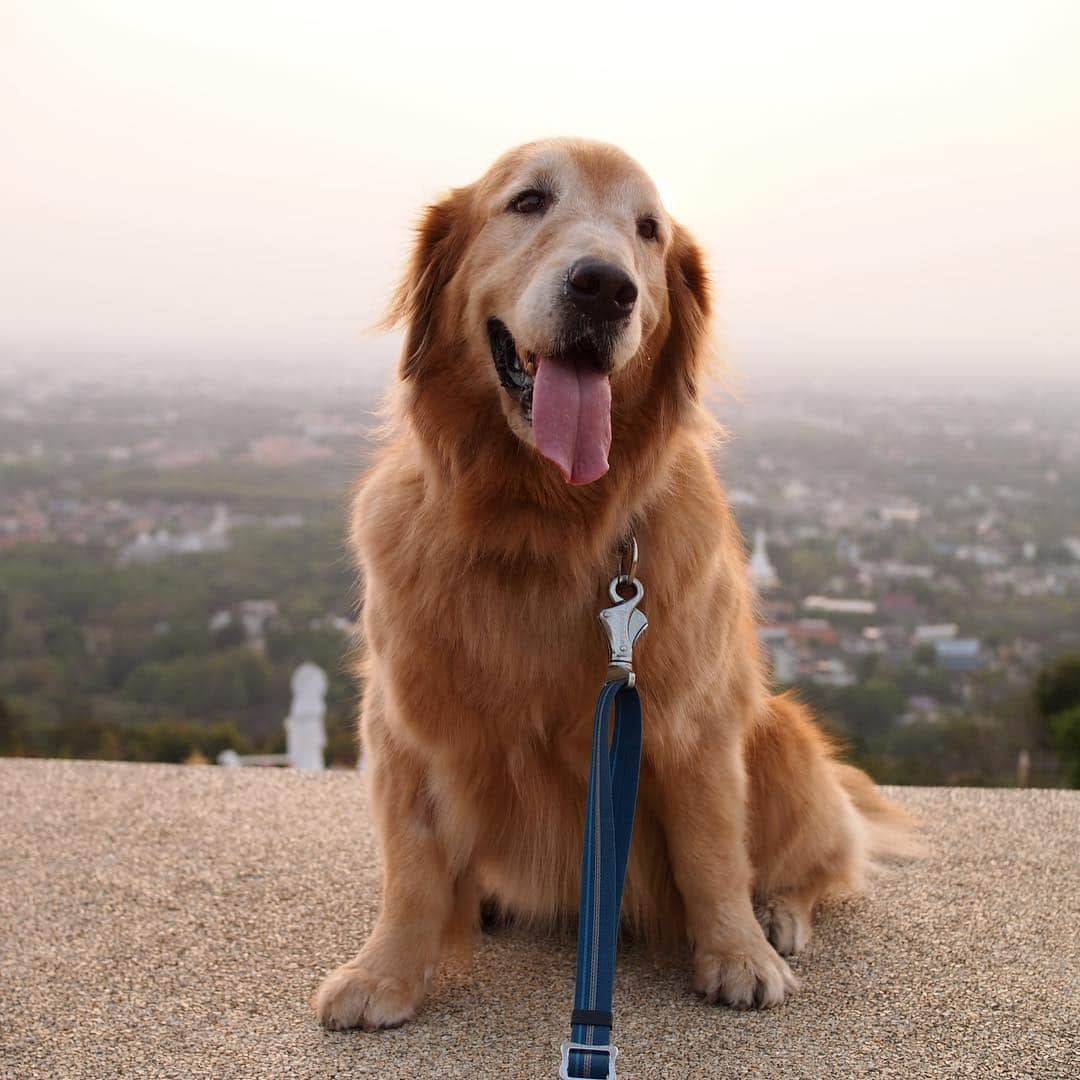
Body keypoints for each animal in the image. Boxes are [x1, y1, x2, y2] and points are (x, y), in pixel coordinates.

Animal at [313, 139, 911, 1032]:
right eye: (528, 200)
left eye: (648, 230)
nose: (605, 286)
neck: (543, 525)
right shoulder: (407, 720)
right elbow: (412, 863)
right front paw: (384, 972)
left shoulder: (692, 721)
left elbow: (711, 854)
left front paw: (737, 955)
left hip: (782, 734)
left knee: (819, 860)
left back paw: (777, 914)